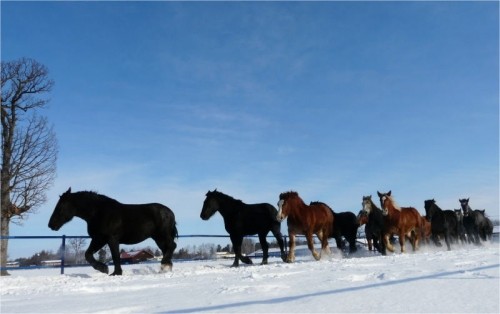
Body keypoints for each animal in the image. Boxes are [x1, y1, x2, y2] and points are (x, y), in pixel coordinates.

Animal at [48, 188, 178, 276]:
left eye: (61, 206)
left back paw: (164, 264)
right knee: (167, 249)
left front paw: (114, 272)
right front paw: (104, 269)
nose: (51, 225)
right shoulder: (99, 239)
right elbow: (88, 254)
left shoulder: (111, 239)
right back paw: (165, 268)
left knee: (172, 246)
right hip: (158, 238)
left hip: (163, 235)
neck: (98, 213)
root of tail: (170, 212)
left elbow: (115, 256)